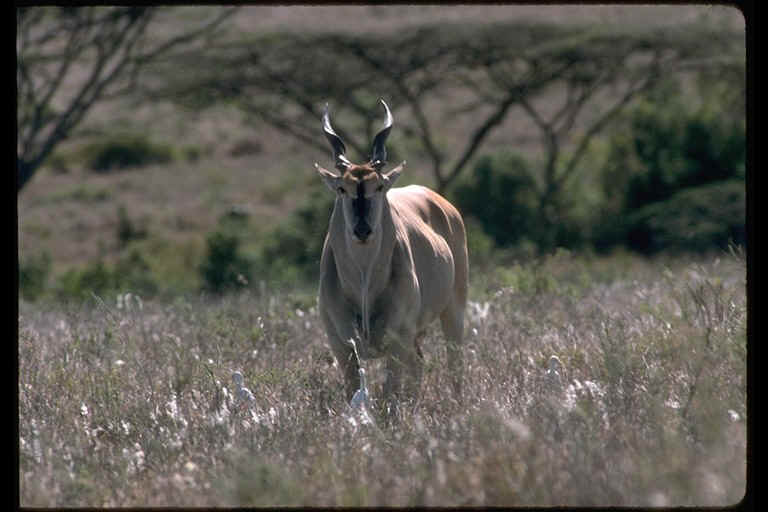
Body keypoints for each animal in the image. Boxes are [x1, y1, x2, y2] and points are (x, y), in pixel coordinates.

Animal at [314, 99, 468, 404]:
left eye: (380, 185)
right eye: (342, 188)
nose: (362, 230)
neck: (364, 285)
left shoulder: (396, 342)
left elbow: (389, 398)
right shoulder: (342, 347)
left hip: (453, 313)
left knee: (454, 364)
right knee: (420, 364)